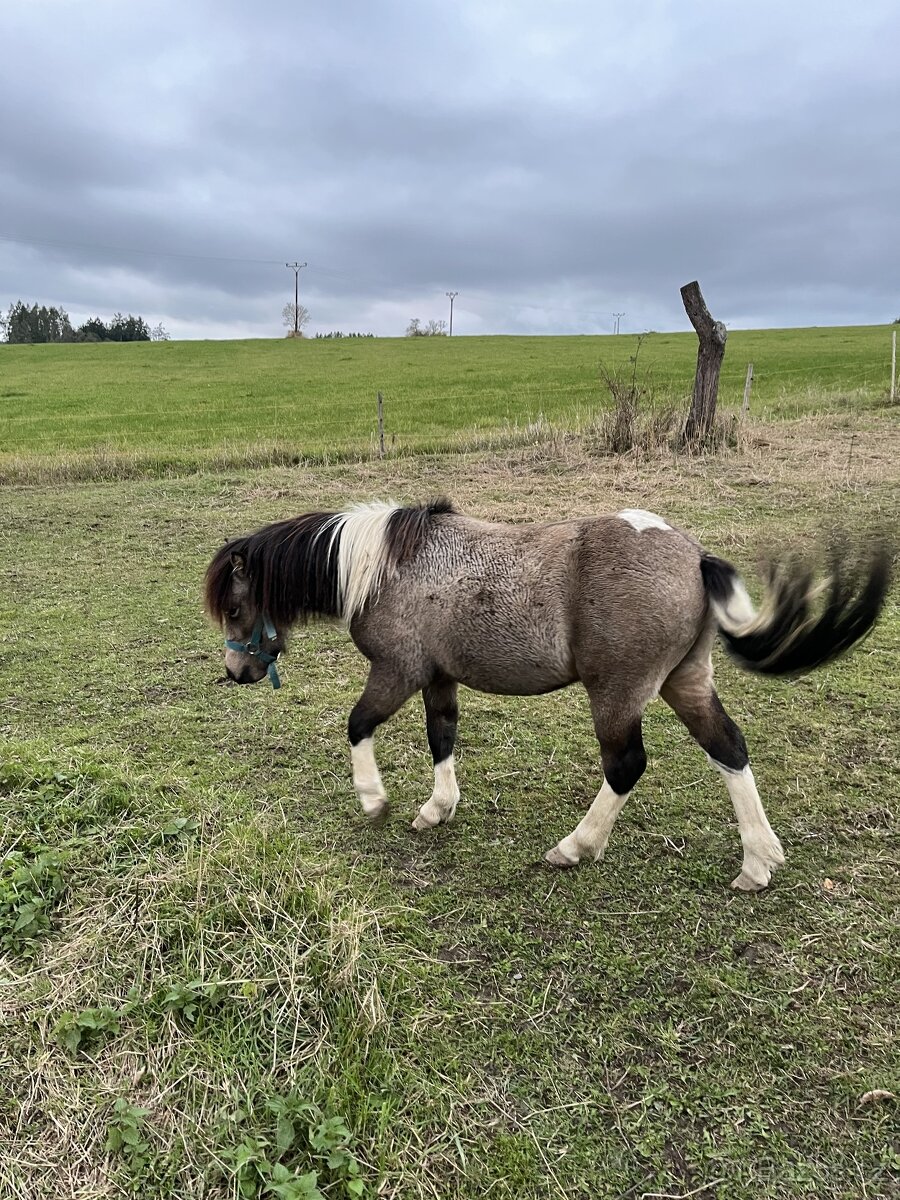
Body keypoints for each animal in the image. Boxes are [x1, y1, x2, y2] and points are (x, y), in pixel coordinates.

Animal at [204, 499, 891, 891]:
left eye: (235, 606)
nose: (237, 671)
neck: (385, 566)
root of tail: (693, 556)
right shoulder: (438, 677)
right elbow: (441, 735)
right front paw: (438, 808)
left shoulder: (397, 672)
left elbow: (357, 724)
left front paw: (374, 801)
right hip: (685, 680)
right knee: (729, 747)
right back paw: (758, 861)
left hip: (617, 694)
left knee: (625, 765)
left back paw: (575, 847)